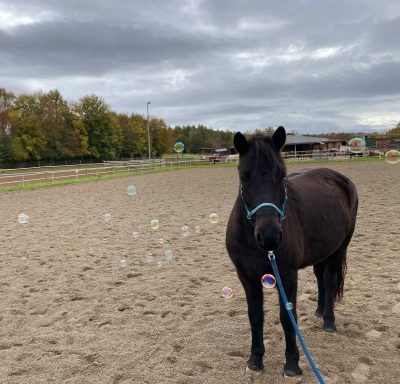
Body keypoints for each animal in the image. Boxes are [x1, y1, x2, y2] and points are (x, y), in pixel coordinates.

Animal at [225, 128, 360, 378]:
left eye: (282, 176)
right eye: (244, 177)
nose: (269, 236)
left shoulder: (287, 275)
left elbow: (287, 318)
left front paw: (292, 364)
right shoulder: (246, 276)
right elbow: (255, 316)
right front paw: (255, 359)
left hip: (339, 249)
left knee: (329, 281)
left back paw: (328, 321)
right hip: (321, 251)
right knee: (320, 277)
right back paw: (319, 311)